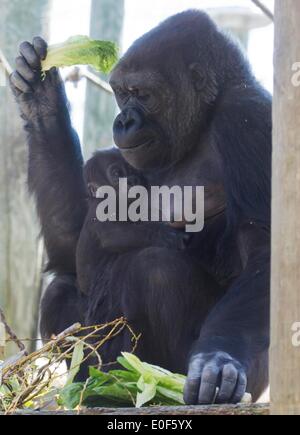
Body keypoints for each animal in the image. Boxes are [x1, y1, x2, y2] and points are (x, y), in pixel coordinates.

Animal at [9, 10, 272, 406]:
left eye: (143, 94)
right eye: (121, 94)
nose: (123, 121)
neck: (204, 118)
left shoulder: (250, 116)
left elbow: (264, 247)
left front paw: (218, 358)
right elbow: (72, 248)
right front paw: (42, 100)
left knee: (156, 270)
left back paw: (153, 380)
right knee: (60, 290)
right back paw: (94, 385)